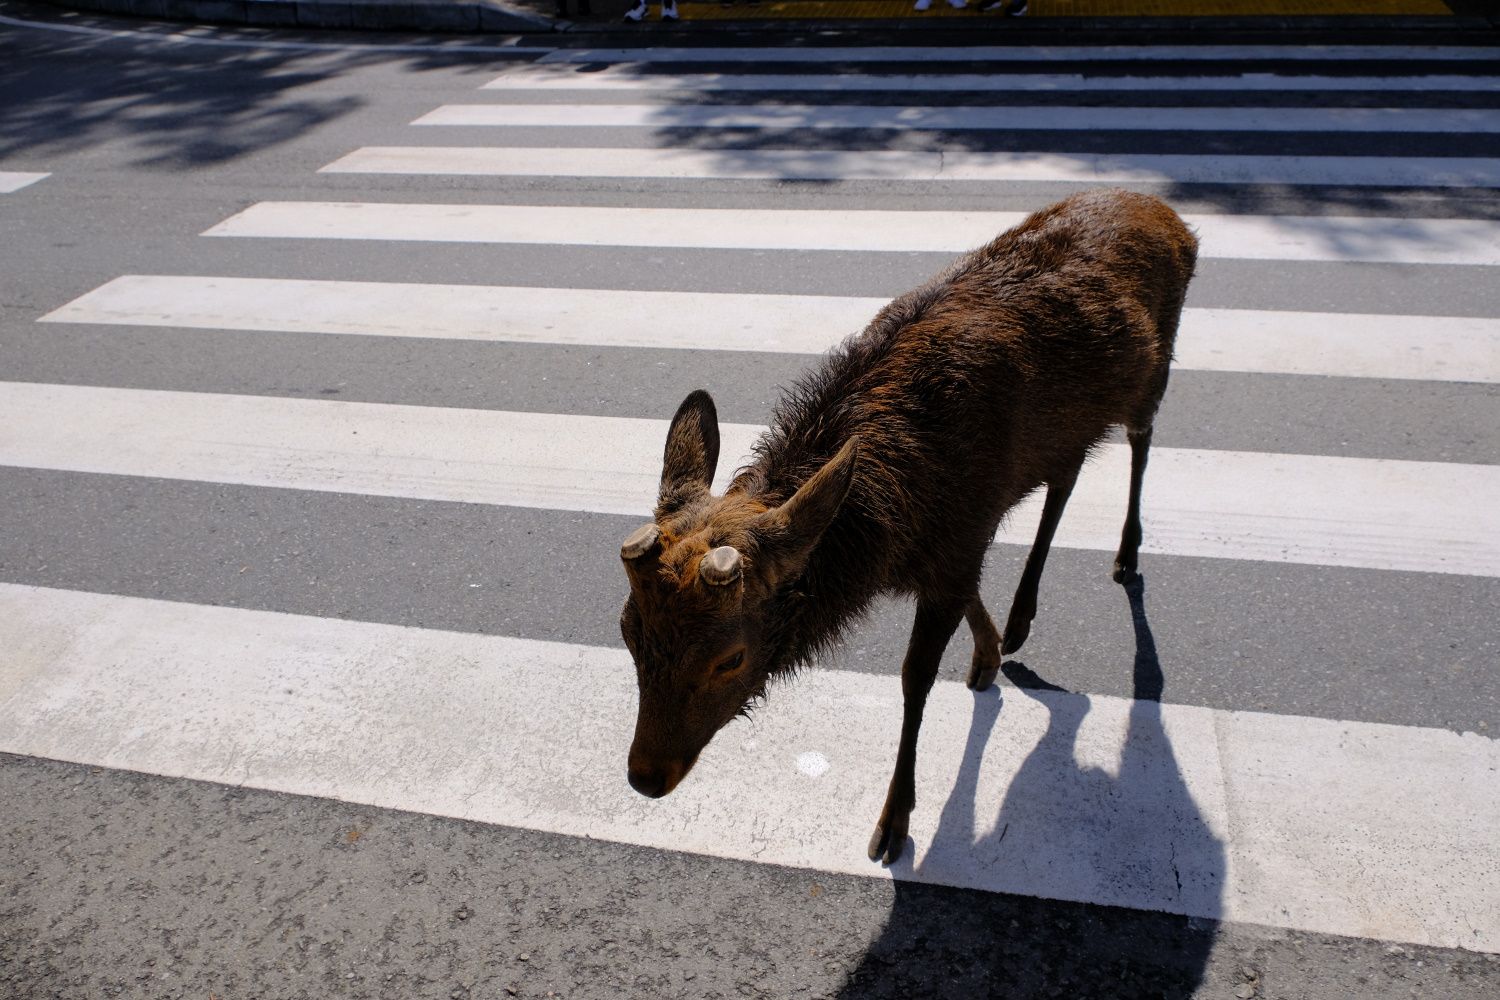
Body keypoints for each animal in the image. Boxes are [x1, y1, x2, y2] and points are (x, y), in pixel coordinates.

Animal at [618, 191, 1194, 863]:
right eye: (628, 632)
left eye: (730, 658)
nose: (645, 776)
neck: (895, 519)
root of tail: (1169, 215)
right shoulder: (954, 542)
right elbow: (971, 592)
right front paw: (988, 651)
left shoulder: (960, 535)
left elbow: (916, 679)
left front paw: (895, 821)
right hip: (1072, 427)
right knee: (1068, 475)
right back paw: (1021, 618)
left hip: (1157, 369)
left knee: (1141, 441)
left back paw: (1125, 555)